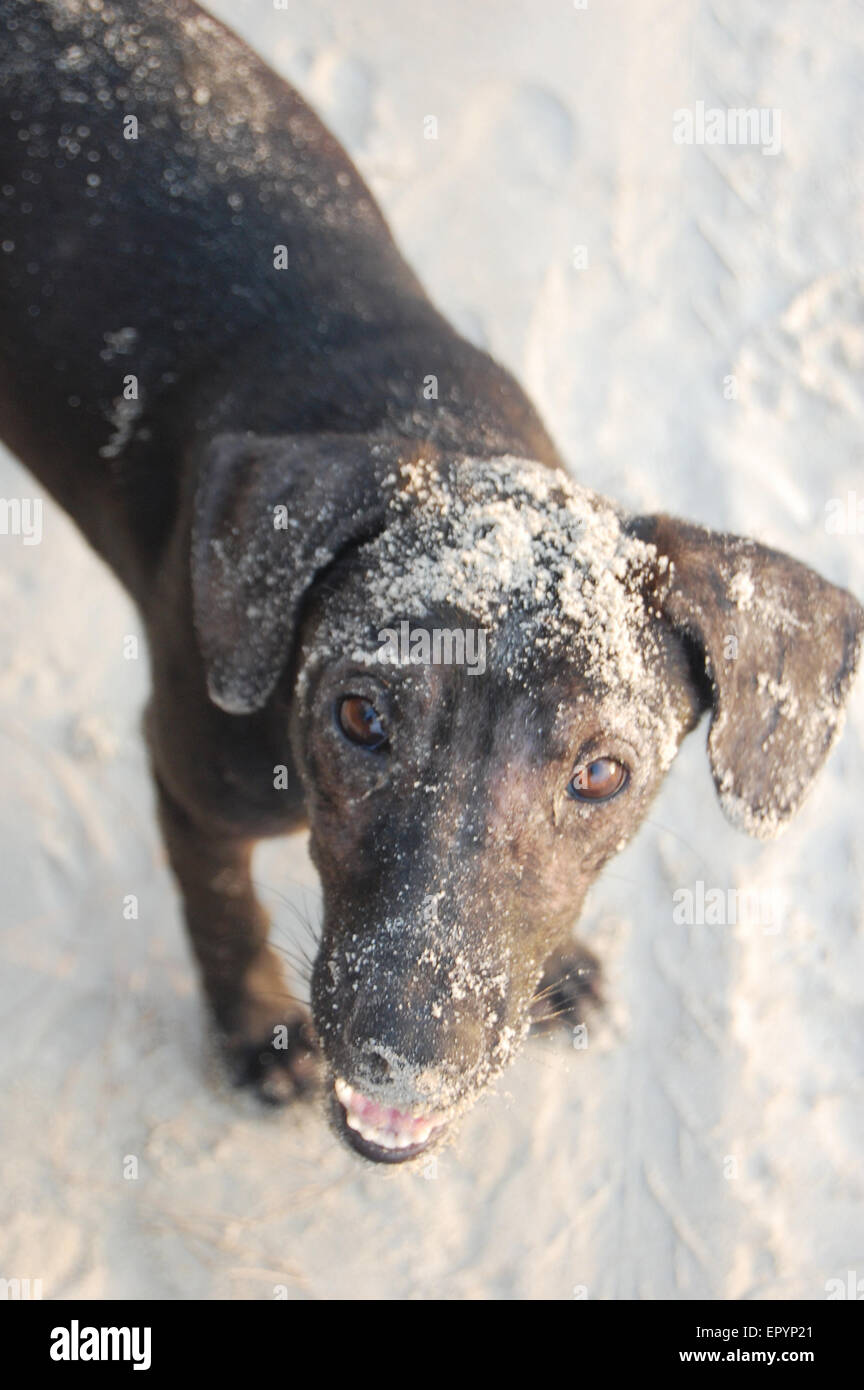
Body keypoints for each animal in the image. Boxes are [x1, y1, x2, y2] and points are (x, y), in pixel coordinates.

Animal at [1, 0, 864, 1167]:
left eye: (603, 774)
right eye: (360, 715)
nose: (400, 1060)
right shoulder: (189, 773)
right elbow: (223, 911)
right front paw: (258, 1031)